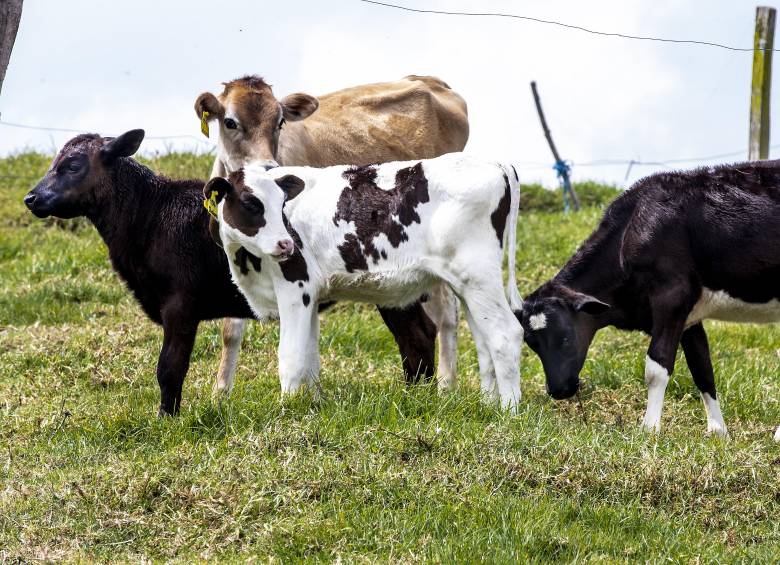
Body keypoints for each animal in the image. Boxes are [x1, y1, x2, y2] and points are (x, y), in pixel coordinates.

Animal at [22, 131, 438, 414]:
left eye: (72, 165)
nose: (31, 198)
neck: (151, 215)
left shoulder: (179, 305)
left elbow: (170, 367)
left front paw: (167, 419)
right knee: (421, 334)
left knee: (416, 338)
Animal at [195, 75, 470, 396]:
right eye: (230, 122)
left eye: (279, 122)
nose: (267, 167)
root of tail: (429, 80)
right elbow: (231, 330)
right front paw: (221, 392)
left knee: (447, 315)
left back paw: (446, 386)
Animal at [206, 153, 524, 410]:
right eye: (250, 203)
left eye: (282, 203)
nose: (286, 244)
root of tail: (495, 162)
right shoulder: (312, 297)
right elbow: (310, 359)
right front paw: (312, 405)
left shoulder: (297, 288)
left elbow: (292, 358)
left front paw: (287, 409)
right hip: (468, 285)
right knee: (484, 341)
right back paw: (488, 405)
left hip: (478, 276)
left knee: (505, 334)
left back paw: (509, 412)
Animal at [516, 159, 780, 436]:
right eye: (531, 343)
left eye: (566, 338)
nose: (558, 390)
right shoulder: (689, 315)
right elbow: (702, 369)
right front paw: (718, 432)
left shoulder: (672, 298)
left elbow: (657, 367)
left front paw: (649, 429)